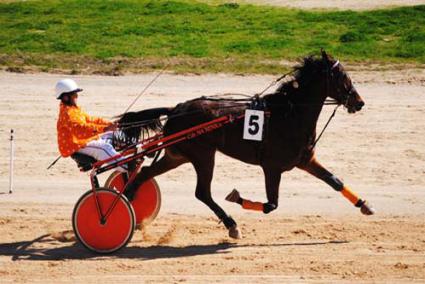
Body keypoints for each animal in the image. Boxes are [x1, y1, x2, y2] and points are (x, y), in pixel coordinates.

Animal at [116, 51, 374, 240]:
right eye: (341, 76)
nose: (359, 102)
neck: (289, 114)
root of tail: (176, 109)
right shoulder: (272, 168)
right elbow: (271, 204)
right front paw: (235, 196)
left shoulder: (305, 160)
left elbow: (334, 181)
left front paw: (365, 205)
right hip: (203, 155)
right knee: (202, 192)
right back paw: (231, 225)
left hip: (178, 155)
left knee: (145, 173)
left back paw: (126, 201)